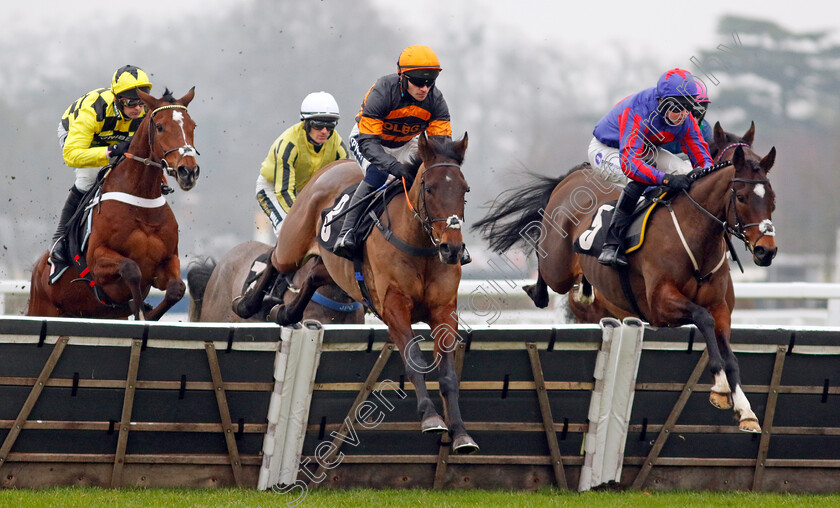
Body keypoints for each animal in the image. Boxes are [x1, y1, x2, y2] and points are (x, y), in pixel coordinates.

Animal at [28, 87, 200, 318]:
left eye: (192, 126)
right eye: (160, 126)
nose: (188, 171)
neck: (141, 199)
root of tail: (38, 269)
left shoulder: (168, 260)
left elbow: (177, 289)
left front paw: (147, 313)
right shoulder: (97, 261)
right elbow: (131, 269)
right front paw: (140, 309)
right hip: (41, 308)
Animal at [233, 133, 480, 454]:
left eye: (465, 190)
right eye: (430, 188)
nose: (452, 248)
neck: (421, 247)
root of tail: (331, 166)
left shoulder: (444, 312)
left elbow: (449, 375)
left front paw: (461, 433)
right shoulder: (394, 307)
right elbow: (413, 358)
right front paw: (430, 417)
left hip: (336, 270)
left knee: (312, 275)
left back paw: (285, 311)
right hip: (293, 243)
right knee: (276, 259)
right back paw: (249, 304)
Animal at [476, 122, 776, 432]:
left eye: (772, 199)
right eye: (741, 197)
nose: (766, 251)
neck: (696, 238)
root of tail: (571, 176)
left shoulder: (721, 308)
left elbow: (729, 353)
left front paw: (745, 409)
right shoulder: (660, 304)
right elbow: (702, 319)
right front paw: (719, 386)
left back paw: (586, 289)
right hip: (556, 265)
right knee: (543, 263)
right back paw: (537, 291)